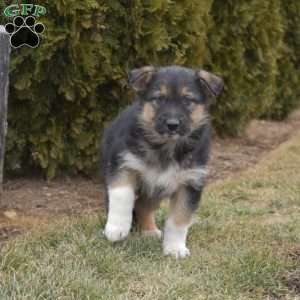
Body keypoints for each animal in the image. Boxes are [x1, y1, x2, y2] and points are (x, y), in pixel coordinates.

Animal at [101, 65, 223, 258]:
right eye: (158, 99)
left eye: (188, 100)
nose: (172, 125)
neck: (166, 147)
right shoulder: (123, 163)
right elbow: (122, 195)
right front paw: (116, 228)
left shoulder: (190, 182)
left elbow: (179, 219)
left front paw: (175, 248)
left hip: (156, 190)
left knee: (143, 206)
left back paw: (149, 231)